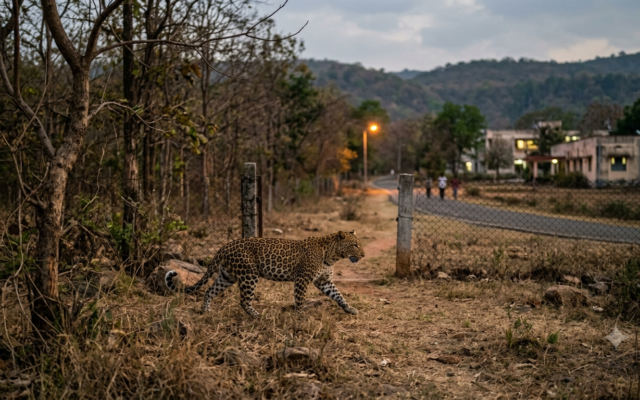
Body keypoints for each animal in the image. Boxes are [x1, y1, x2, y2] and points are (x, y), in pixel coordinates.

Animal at [165, 230, 365, 318]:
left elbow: (338, 295)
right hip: (249, 274)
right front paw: (300, 316)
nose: (363, 255)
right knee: (244, 300)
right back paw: (257, 315)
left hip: (227, 276)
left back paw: (207, 311)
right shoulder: (302, 279)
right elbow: (300, 299)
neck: (332, 255)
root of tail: (226, 245)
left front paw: (350, 309)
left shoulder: (325, 281)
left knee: (209, 291)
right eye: (355, 244)